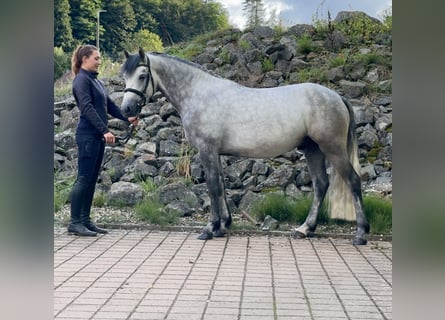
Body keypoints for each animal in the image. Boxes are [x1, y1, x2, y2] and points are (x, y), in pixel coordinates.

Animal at [118, 47, 368, 245]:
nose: (126, 109)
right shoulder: (215, 153)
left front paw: (210, 228)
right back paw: (305, 229)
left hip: (332, 148)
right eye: (124, 77)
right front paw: (223, 226)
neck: (199, 94)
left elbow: (212, 187)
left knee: (353, 181)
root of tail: (337, 97)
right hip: (313, 149)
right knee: (320, 185)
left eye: (142, 75)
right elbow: (221, 185)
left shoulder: (207, 150)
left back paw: (360, 234)